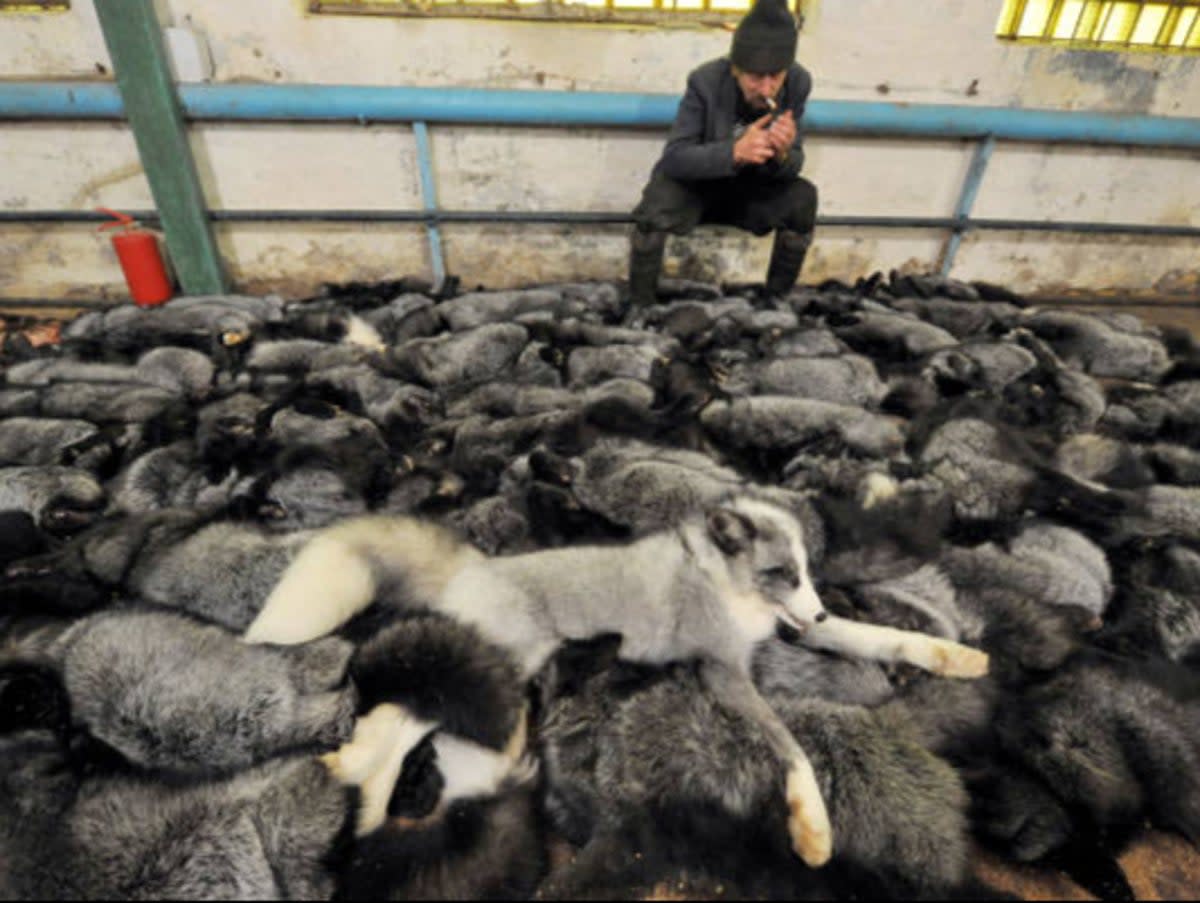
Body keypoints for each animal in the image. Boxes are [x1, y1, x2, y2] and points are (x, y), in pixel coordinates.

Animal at [241, 494, 984, 869]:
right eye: (782, 572)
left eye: (804, 573)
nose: (818, 610)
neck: (723, 584)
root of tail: (475, 568)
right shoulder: (723, 669)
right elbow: (790, 748)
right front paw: (813, 829)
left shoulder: (785, 631)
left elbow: (874, 634)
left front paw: (953, 654)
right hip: (507, 670)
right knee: (400, 717)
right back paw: (359, 795)